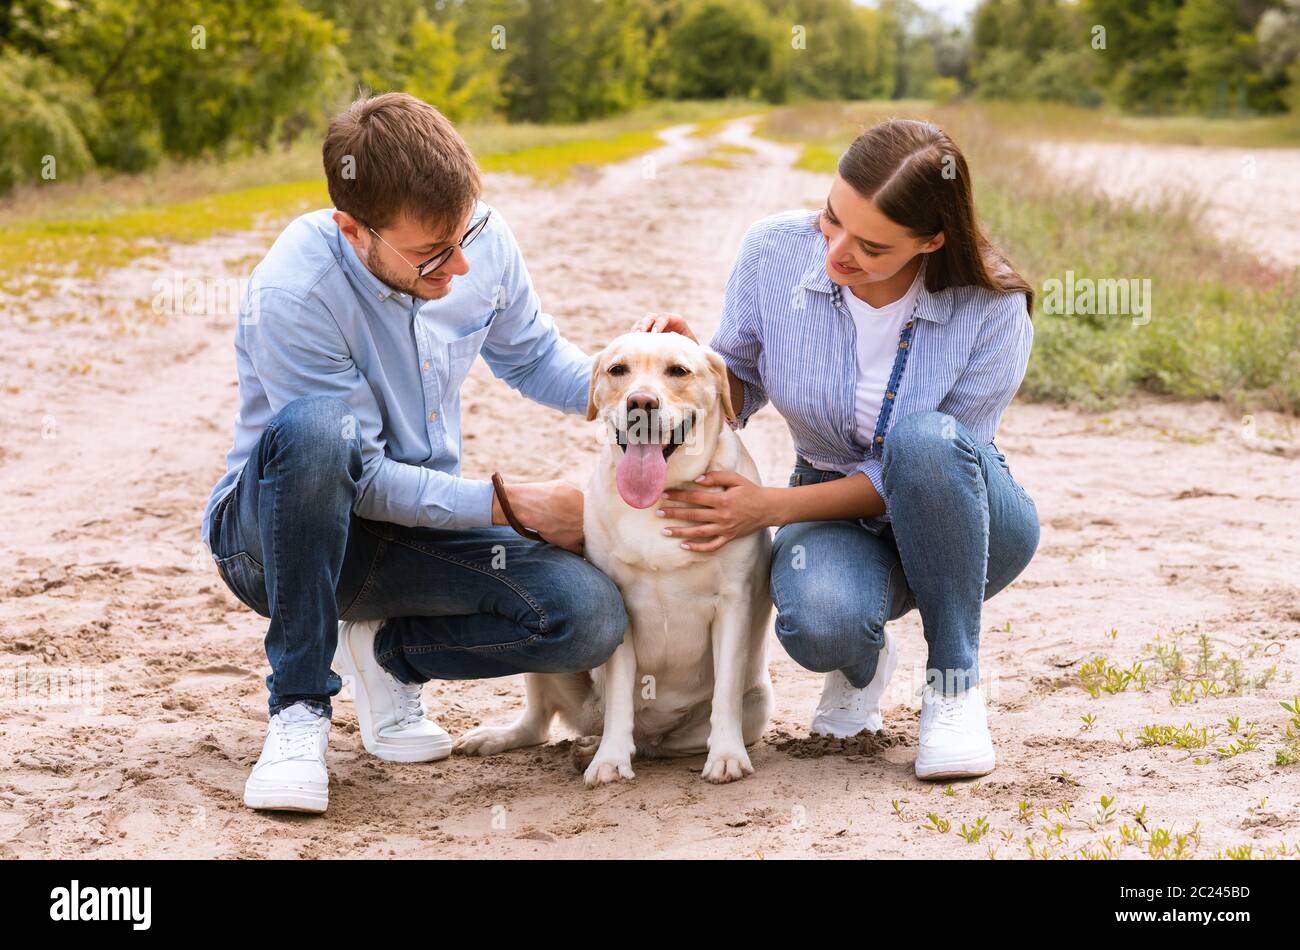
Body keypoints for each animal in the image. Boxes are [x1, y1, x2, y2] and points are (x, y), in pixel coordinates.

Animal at [454, 332, 769, 790]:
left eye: (678, 371)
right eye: (618, 370)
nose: (641, 401)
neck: (657, 498)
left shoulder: (732, 605)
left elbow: (724, 694)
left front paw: (727, 756)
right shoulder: (621, 609)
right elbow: (621, 696)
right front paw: (610, 760)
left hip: (756, 706)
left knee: (665, 744)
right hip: (554, 671)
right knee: (541, 722)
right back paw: (525, 739)